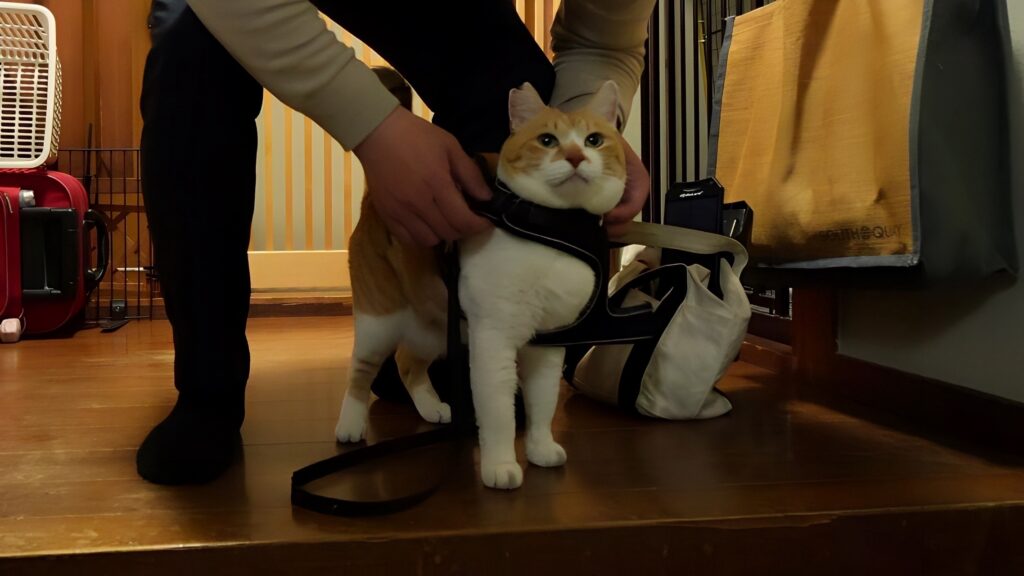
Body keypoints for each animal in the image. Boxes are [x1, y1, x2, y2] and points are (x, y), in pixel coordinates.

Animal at [335, 80, 627, 490]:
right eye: (548, 140)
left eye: (594, 140)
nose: (575, 157)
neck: (551, 229)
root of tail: (373, 199)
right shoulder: (493, 340)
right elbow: (500, 413)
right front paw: (500, 465)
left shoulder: (549, 344)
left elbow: (543, 402)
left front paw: (540, 448)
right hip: (379, 320)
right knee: (360, 370)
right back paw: (350, 424)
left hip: (436, 328)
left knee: (408, 363)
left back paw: (434, 408)